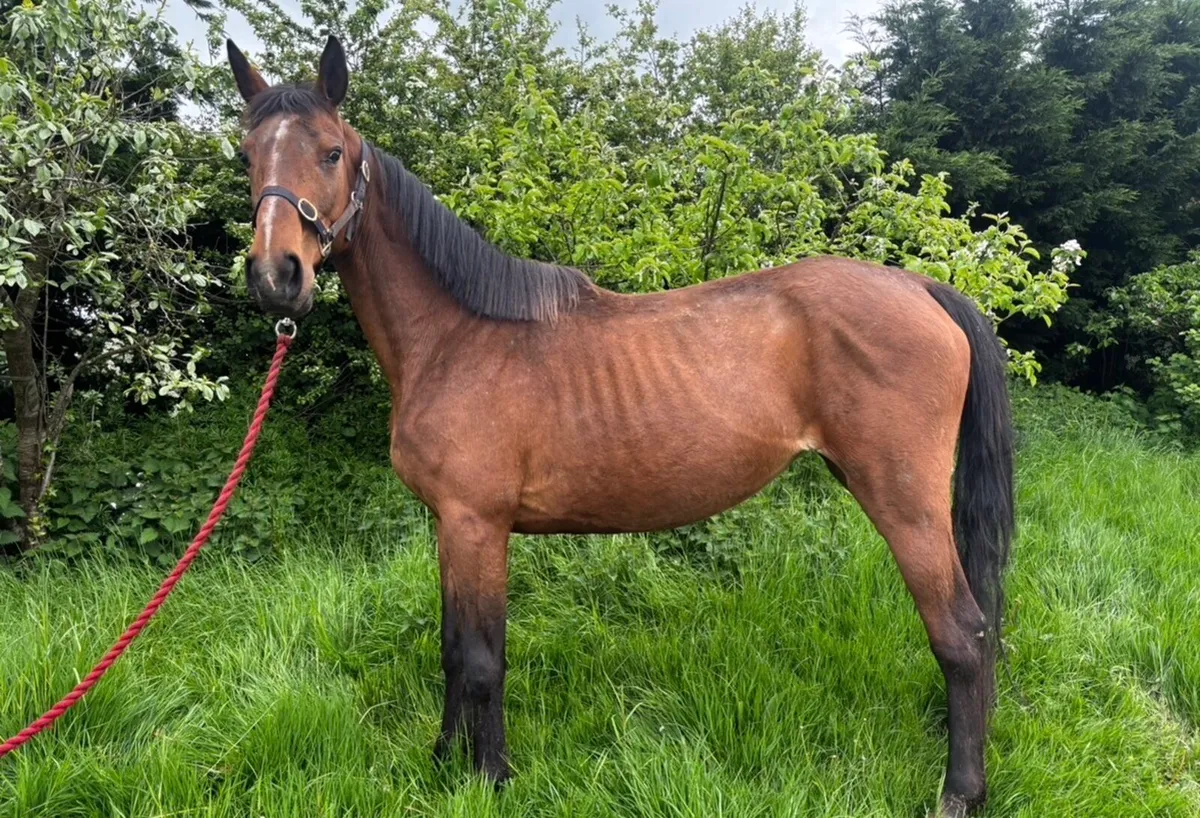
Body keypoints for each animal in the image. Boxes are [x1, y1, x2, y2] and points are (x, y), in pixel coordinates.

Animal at [226, 36, 1014, 816]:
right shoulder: (449, 525)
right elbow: (452, 647)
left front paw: (491, 777)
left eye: (331, 152)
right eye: (247, 154)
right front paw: (444, 759)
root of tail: (923, 288)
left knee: (963, 636)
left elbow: (482, 658)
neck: (457, 336)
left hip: (904, 503)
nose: (277, 275)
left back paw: (959, 792)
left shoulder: (477, 523)